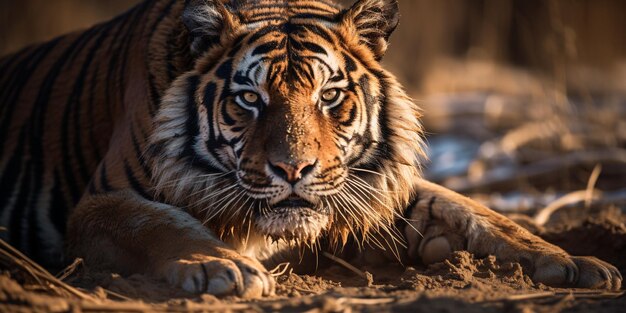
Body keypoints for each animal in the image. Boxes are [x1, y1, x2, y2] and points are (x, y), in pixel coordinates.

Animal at [0, 0, 616, 298]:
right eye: (249, 98)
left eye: (330, 96)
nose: (293, 169)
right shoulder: (99, 204)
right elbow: (159, 223)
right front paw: (219, 265)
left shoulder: (368, 185)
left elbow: (477, 212)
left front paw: (575, 263)